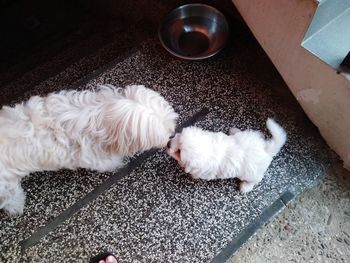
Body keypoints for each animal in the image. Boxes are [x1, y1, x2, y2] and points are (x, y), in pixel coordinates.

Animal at [0, 85, 178, 217]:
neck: (97, 116)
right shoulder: (93, 157)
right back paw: (16, 206)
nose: (171, 137)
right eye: (163, 134)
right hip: (6, 183)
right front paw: (117, 162)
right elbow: (107, 162)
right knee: (9, 196)